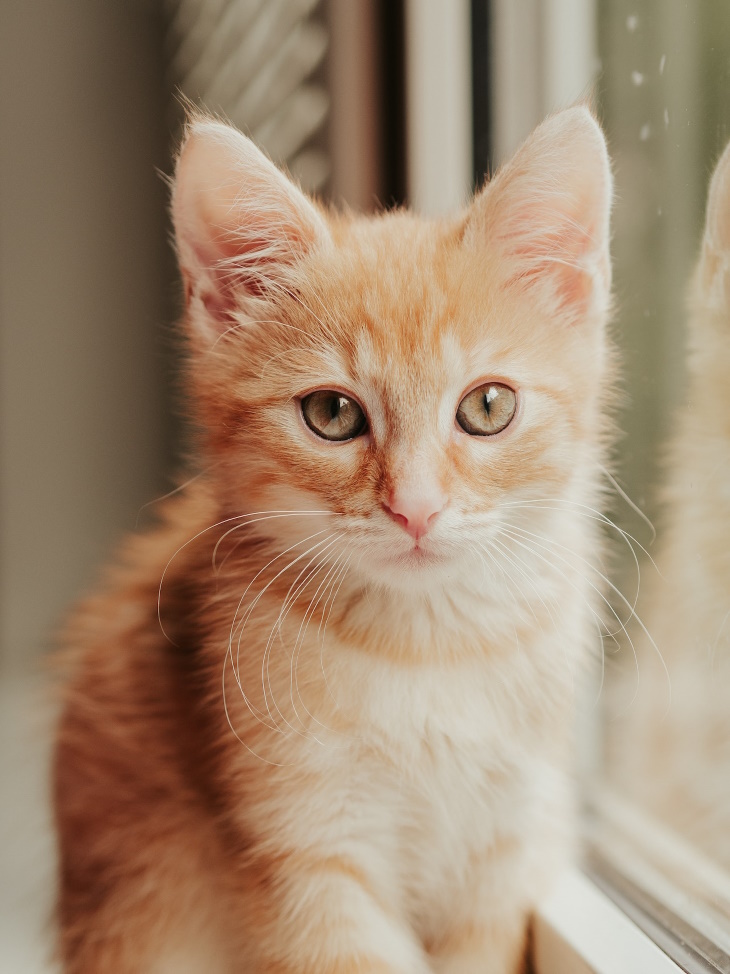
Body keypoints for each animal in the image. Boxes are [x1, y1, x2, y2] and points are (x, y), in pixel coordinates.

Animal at [54, 108, 612, 974]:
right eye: (332, 414)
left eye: (488, 407)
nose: (415, 508)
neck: (426, 648)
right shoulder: (300, 852)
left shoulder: (507, 842)